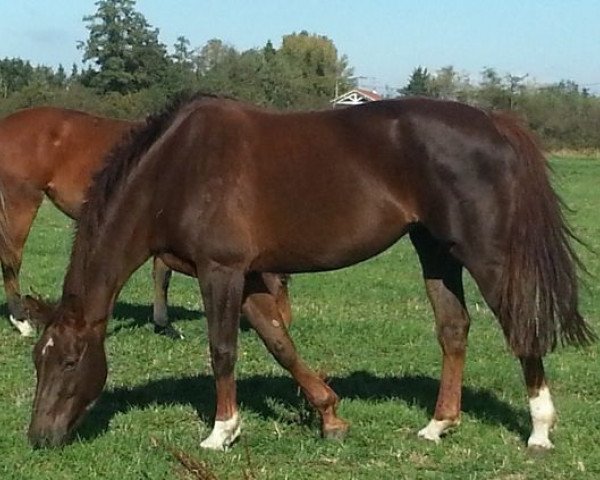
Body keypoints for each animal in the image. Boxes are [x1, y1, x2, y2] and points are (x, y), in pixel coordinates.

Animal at [25, 95, 592, 452]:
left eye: (70, 362)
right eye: (38, 360)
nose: (38, 437)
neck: (177, 169)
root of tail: (494, 121)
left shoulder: (221, 270)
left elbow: (223, 349)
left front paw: (221, 432)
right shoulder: (250, 276)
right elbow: (280, 342)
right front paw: (330, 416)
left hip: (484, 252)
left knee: (519, 326)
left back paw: (540, 431)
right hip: (435, 249)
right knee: (453, 328)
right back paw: (437, 425)